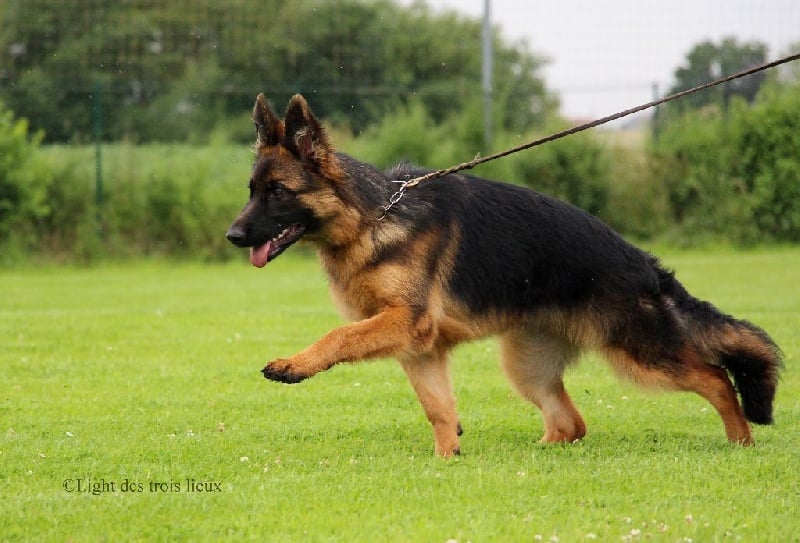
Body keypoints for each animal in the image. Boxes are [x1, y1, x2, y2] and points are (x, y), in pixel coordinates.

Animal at [226, 93, 781, 457]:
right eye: (251, 190)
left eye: (277, 192)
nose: (232, 236)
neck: (372, 217)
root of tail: (643, 262)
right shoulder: (419, 347)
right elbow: (439, 409)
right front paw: (447, 459)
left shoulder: (406, 325)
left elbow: (338, 335)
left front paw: (294, 364)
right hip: (527, 367)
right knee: (571, 423)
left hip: (639, 352)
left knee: (716, 378)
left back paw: (741, 442)